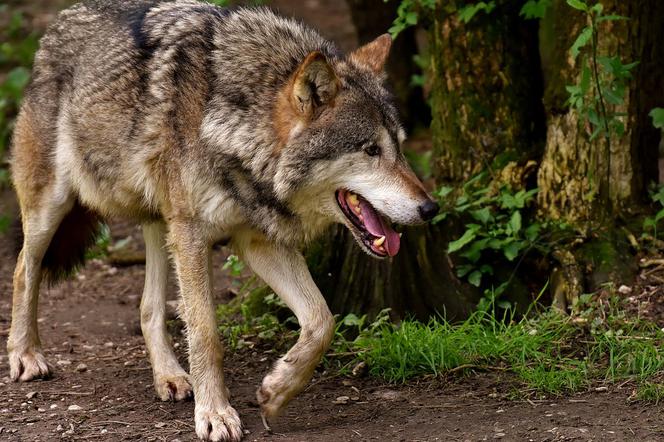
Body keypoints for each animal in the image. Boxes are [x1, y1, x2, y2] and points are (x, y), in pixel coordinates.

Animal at [6, 1, 440, 440]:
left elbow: (322, 321)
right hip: (54, 207)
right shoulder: (194, 235)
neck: (236, 126)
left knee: (148, 307)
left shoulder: (257, 241)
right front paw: (214, 413)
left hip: (161, 222)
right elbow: (206, 334)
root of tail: (60, 20)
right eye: (371, 150)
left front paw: (277, 391)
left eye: (400, 148)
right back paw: (25, 355)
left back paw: (170, 377)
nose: (430, 208)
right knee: (24, 268)